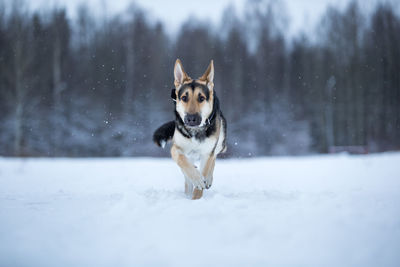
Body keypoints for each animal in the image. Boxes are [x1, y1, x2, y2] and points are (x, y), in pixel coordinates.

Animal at [153, 59, 227, 201]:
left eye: (201, 98)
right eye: (184, 98)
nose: (191, 119)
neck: (195, 132)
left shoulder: (207, 153)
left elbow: (206, 169)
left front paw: (196, 200)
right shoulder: (176, 149)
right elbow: (183, 162)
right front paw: (196, 180)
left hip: (220, 143)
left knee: (214, 158)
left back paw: (207, 180)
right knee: (187, 175)